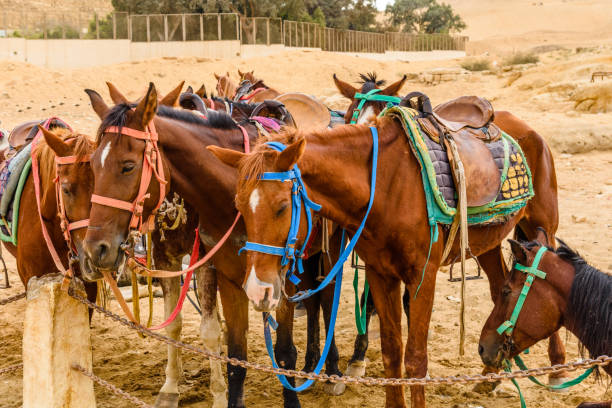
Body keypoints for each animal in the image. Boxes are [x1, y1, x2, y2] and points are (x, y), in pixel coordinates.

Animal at [82, 83, 344, 408]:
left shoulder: (244, 272)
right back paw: (311, 365)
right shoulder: (224, 276)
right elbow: (232, 355)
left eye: (128, 166)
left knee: (327, 298)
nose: (95, 249)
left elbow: (281, 353)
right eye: (92, 165)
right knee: (313, 299)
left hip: (329, 251)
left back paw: (332, 371)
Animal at [210, 107, 564, 406]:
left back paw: (558, 367)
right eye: (239, 206)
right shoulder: (381, 274)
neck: (385, 185)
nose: (257, 289)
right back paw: (490, 375)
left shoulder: (422, 277)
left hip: (542, 227)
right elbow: (392, 353)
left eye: (282, 207)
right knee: (499, 289)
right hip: (488, 245)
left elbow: (416, 359)